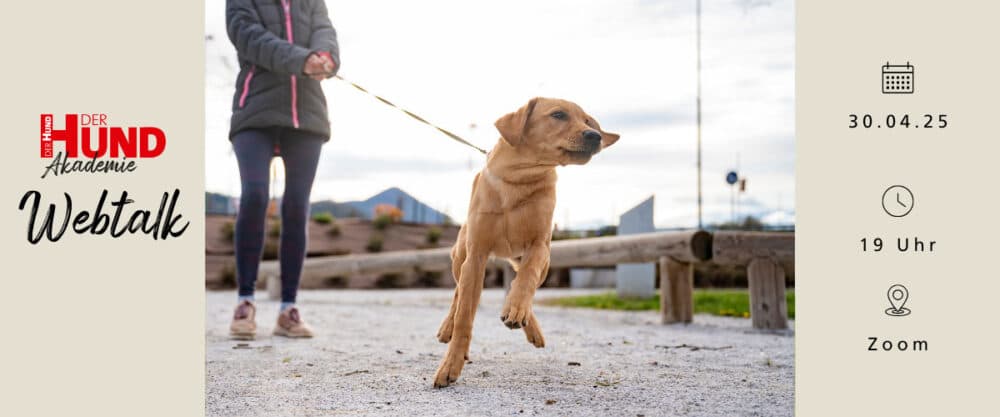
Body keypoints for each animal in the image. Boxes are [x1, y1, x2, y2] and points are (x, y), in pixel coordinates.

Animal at [436, 96, 620, 386]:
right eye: (558, 115)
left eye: (588, 121)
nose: (595, 135)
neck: (518, 178)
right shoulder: (476, 255)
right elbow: (464, 315)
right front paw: (450, 365)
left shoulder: (539, 246)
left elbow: (526, 279)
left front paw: (516, 309)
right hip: (460, 257)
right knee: (457, 293)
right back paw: (448, 327)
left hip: (535, 261)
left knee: (523, 282)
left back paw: (522, 317)